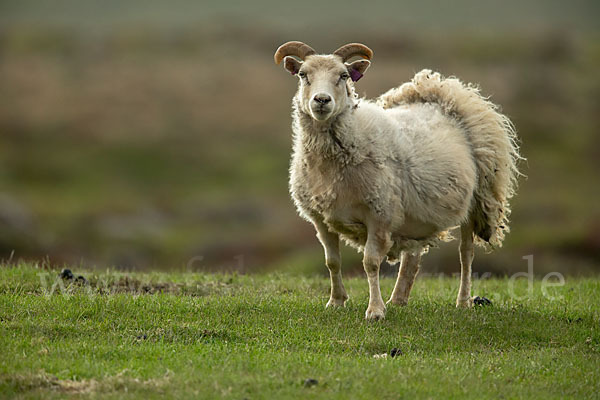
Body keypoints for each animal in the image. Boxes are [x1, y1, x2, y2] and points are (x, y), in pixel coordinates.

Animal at [274, 42, 524, 320]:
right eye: (303, 74)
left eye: (343, 75)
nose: (321, 100)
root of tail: (446, 91)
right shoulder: (321, 218)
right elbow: (332, 262)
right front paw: (336, 301)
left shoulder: (379, 214)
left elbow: (370, 263)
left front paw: (375, 311)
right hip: (417, 211)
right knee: (413, 255)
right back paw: (398, 299)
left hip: (476, 200)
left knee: (465, 254)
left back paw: (462, 301)